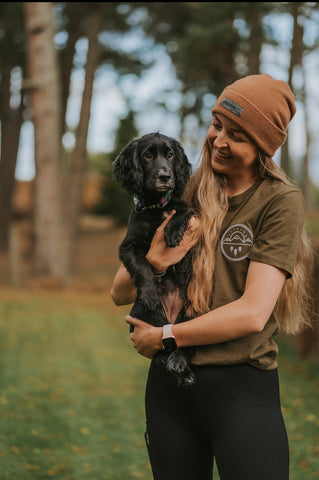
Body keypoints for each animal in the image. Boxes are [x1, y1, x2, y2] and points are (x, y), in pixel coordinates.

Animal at [114, 132, 196, 390]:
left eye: (169, 155)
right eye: (148, 156)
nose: (165, 176)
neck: (154, 207)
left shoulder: (186, 210)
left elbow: (180, 211)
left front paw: (172, 233)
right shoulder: (129, 246)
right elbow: (142, 268)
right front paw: (150, 293)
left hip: (194, 312)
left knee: (184, 342)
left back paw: (181, 366)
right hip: (140, 314)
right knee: (160, 348)